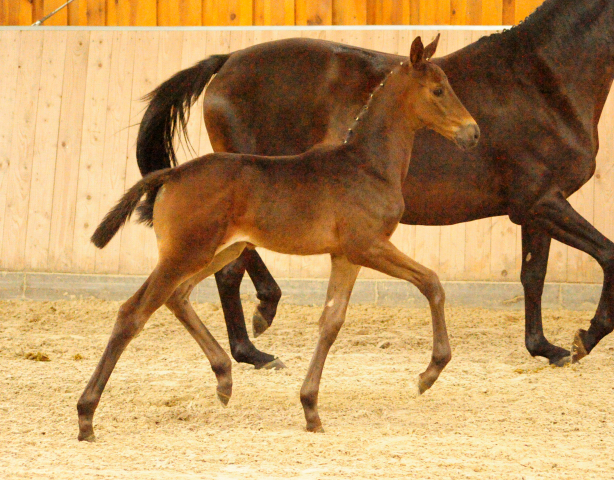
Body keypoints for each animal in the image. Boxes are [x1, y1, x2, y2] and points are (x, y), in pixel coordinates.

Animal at [77, 35, 482, 440]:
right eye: (438, 90)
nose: (473, 132)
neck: (367, 164)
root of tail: (170, 175)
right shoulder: (368, 246)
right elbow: (431, 283)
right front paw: (429, 373)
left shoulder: (345, 256)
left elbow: (331, 321)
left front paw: (310, 409)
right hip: (186, 253)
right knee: (133, 313)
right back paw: (86, 415)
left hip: (220, 251)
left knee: (177, 297)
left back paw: (224, 379)